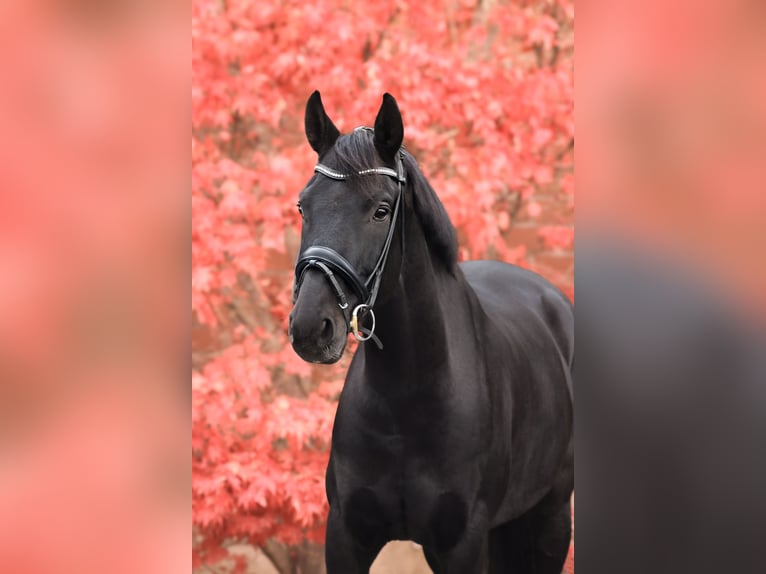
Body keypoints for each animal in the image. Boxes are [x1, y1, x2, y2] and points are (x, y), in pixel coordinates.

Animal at [292, 92, 572, 572]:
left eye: (381, 210)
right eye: (303, 206)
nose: (311, 325)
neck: (408, 397)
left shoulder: (462, 544)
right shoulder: (346, 536)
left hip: (550, 521)